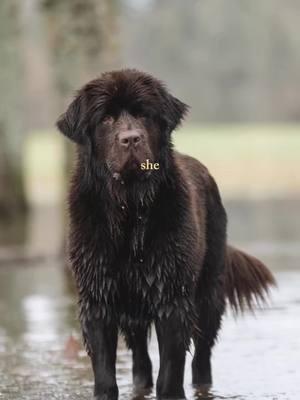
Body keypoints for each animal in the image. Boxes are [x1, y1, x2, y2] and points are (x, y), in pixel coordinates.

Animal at [56, 69, 276, 400]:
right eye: (105, 118)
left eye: (143, 114)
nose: (131, 139)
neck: (131, 210)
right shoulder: (98, 297)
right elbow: (105, 370)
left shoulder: (172, 297)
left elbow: (171, 368)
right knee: (140, 357)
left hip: (209, 292)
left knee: (202, 355)